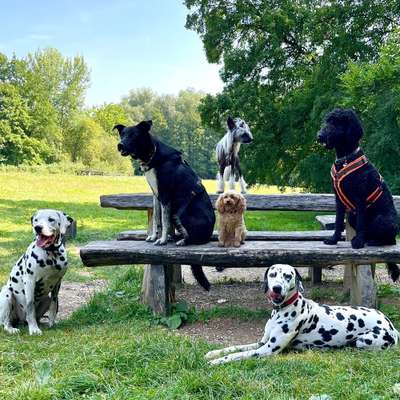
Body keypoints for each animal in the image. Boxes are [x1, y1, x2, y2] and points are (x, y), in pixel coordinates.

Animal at [113, 119, 216, 290]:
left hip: (182, 211)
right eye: (122, 134)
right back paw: (178, 237)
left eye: (133, 135)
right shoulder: (156, 195)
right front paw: (154, 236)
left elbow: (165, 221)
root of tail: (210, 233)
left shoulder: (165, 196)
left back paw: (183, 241)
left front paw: (162, 240)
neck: (151, 154)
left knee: (196, 239)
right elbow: (156, 218)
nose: (120, 145)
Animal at [206, 264, 400, 364]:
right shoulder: (262, 343)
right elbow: (235, 347)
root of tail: (390, 325)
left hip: (363, 340)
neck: (282, 310)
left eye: (288, 276)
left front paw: (218, 361)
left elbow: (238, 355)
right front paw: (213, 353)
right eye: (273, 274)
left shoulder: (266, 350)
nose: (276, 288)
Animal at [318, 108, 398, 280]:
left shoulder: (360, 198)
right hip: (351, 217)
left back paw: (372, 241)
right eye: (326, 120)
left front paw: (358, 243)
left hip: (382, 220)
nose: (319, 136)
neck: (345, 160)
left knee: (390, 240)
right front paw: (333, 239)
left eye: (336, 123)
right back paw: (367, 239)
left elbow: (361, 223)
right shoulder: (338, 200)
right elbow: (338, 221)